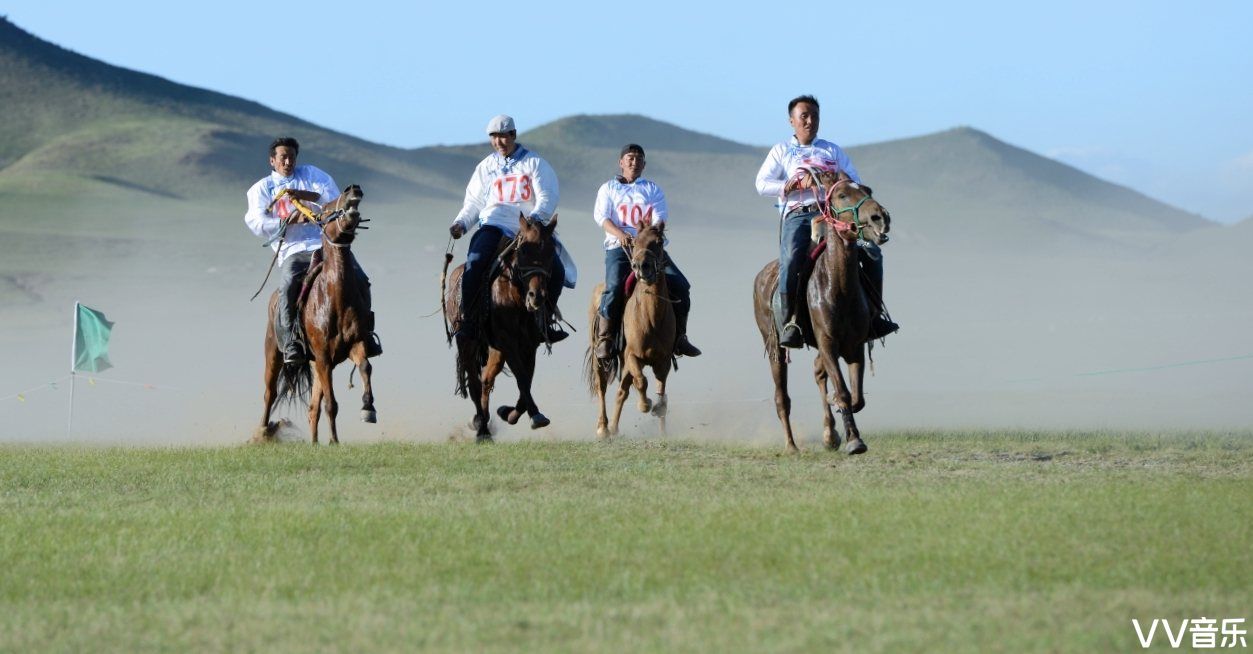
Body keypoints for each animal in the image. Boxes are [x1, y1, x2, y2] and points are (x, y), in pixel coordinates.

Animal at [443, 212, 556, 438]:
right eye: (523, 251)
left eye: (551, 251)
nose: (537, 297)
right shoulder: (508, 342)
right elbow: (522, 377)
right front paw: (535, 415)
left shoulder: (530, 345)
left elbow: (527, 379)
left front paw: (509, 413)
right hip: (467, 343)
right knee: (475, 384)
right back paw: (482, 429)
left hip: (495, 350)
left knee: (486, 379)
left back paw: (483, 420)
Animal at [583, 220, 676, 438]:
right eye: (635, 242)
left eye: (659, 242)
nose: (642, 266)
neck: (650, 317)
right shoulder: (632, 355)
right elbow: (641, 381)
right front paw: (645, 404)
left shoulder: (664, 359)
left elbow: (660, 388)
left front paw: (660, 414)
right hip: (600, 358)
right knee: (602, 387)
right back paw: (603, 428)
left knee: (621, 391)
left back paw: (614, 428)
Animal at [751, 170, 892, 451]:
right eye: (842, 195)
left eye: (867, 190)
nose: (880, 217)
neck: (838, 286)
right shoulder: (827, 343)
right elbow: (844, 392)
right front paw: (853, 441)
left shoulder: (854, 345)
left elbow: (856, 397)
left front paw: (843, 432)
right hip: (774, 348)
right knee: (782, 397)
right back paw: (792, 446)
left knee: (818, 373)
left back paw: (829, 434)